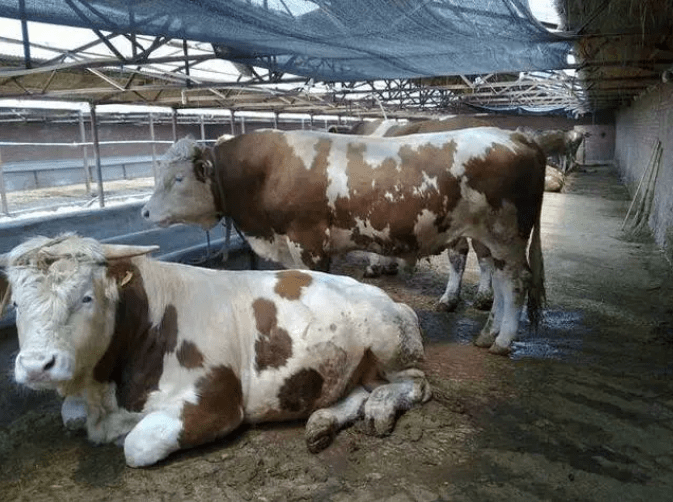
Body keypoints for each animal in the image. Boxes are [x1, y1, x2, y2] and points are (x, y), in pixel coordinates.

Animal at [0, 234, 430, 466]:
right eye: (16, 304)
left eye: (86, 298)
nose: (37, 365)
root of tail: (388, 298)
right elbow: (71, 416)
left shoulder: (217, 401)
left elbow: (136, 445)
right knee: (355, 392)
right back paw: (322, 423)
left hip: (388, 341)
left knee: (415, 384)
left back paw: (379, 409)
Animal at [142, 127, 544, 354]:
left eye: (178, 179)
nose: (144, 212)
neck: (265, 172)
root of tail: (514, 135)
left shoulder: (308, 242)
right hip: (489, 239)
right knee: (501, 283)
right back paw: (488, 333)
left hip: (506, 235)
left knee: (515, 283)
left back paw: (503, 341)